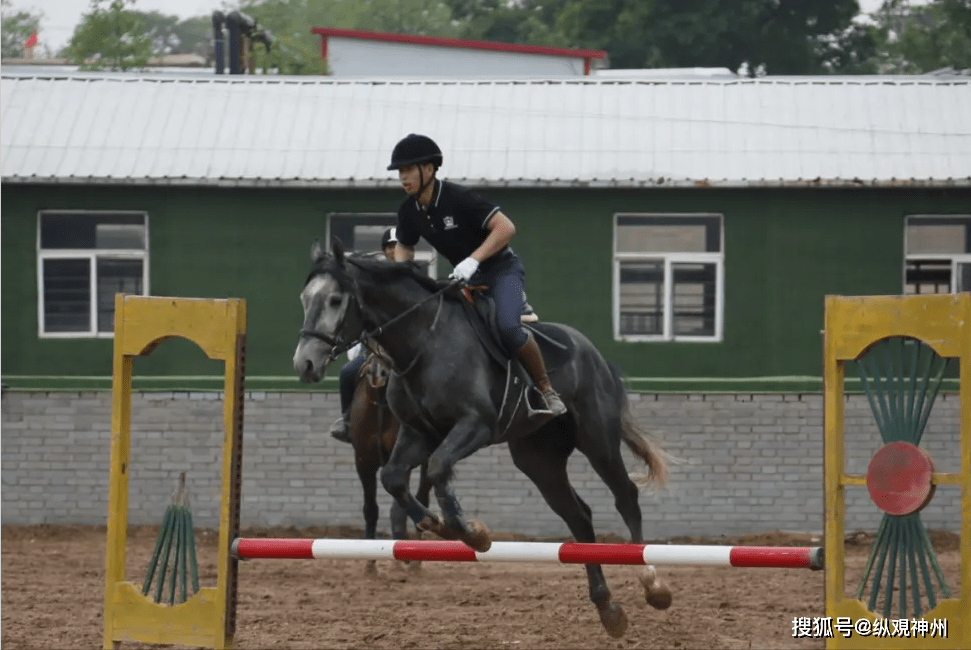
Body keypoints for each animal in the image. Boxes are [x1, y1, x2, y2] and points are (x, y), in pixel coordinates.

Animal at [346, 350, 430, 572]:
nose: (378, 374)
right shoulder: (363, 462)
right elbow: (370, 509)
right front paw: (370, 563)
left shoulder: (400, 461)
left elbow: (398, 508)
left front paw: (404, 555)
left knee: (422, 497)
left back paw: (416, 560)